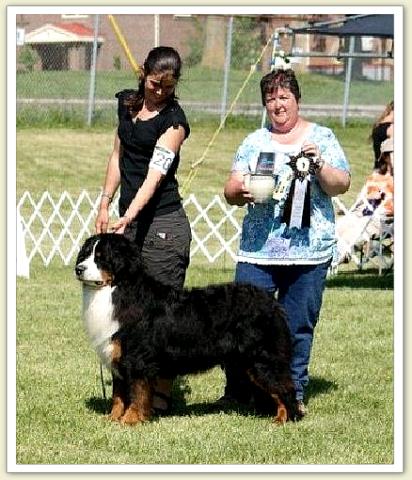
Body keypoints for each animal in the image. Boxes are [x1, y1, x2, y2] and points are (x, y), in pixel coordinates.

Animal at [75, 232, 300, 424]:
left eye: (101, 258)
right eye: (85, 254)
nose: (78, 269)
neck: (118, 290)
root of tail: (272, 303)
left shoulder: (137, 359)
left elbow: (137, 394)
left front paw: (130, 420)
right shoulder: (118, 357)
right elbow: (119, 396)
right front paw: (112, 419)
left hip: (263, 359)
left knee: (285, 388)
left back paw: (284, 419)